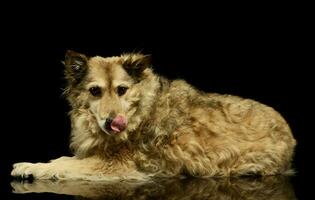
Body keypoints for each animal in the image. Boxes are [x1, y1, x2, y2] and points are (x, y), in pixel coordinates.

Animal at [11, 50, 298, 181]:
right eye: (95, 91)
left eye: (122, 90)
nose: (112, 122)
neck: (139, 112)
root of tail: (288, 129)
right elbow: (63, 159)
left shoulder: (113, 166)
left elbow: (63, 164)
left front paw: (31, 167)